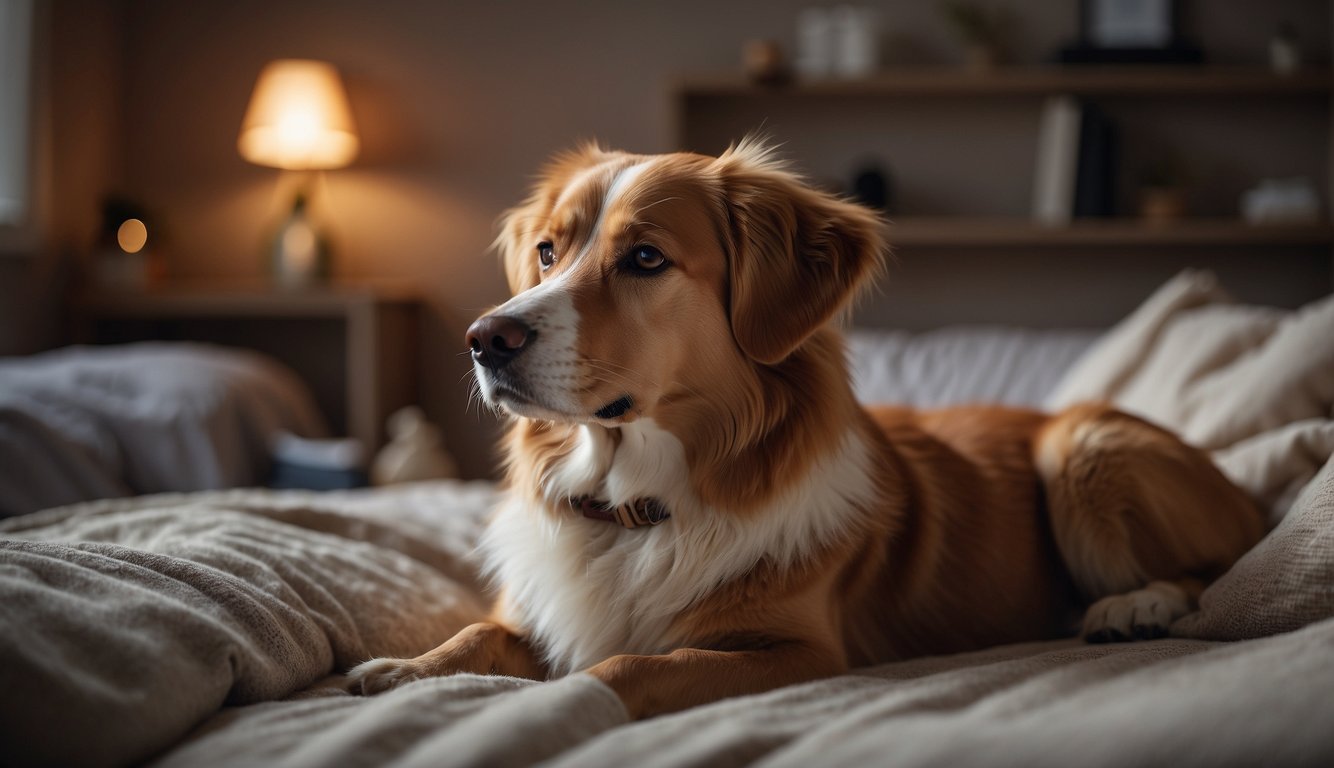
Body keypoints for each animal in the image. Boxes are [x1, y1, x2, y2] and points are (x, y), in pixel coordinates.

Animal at [349, 139, 1264, 720]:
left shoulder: (800, 653)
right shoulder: (530, 609)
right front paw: (405, 672)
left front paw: (546, 702)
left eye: (645, 258)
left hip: (1084, 447)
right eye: (546, 251)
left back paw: (1133, 605)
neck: (634, 507)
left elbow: (633, 662)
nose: (484, 340)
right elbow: (480, 631)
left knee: (1212, 570)